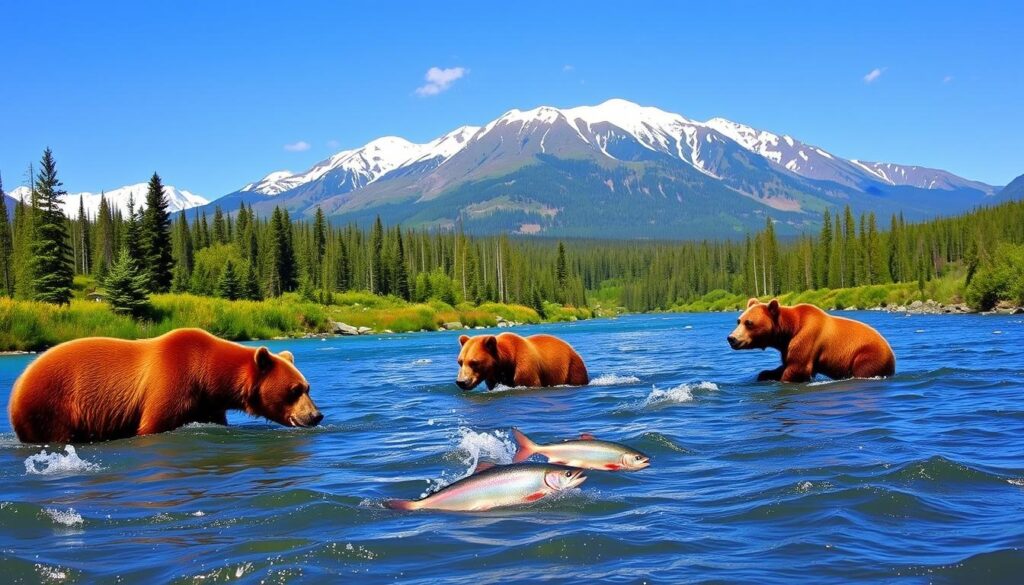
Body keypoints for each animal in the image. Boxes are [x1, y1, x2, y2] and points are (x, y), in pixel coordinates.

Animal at [7, 329, 319, 444]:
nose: (316, 415)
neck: (207, 375)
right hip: (50, 407)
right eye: (294, 390)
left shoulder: (207, 403)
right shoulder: (172, 381)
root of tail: (18, 384)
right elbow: (154, 422)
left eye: (308, 387)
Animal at [454, 331, 589, 391]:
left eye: (474, 362)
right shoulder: (493, 377)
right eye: (460, 362)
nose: (461, 382)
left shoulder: (525, 368)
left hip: (572, 367)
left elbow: (530, 382)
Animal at [729, 299, 897, 383]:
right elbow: (786, 364)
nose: (731, 338)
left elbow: (798, 367)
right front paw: (764, 374)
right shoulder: (787, 345)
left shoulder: (807, 337)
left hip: (867, 355)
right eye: (739, 320)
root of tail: (891, 353)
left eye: (749, 323)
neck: (789, 329)